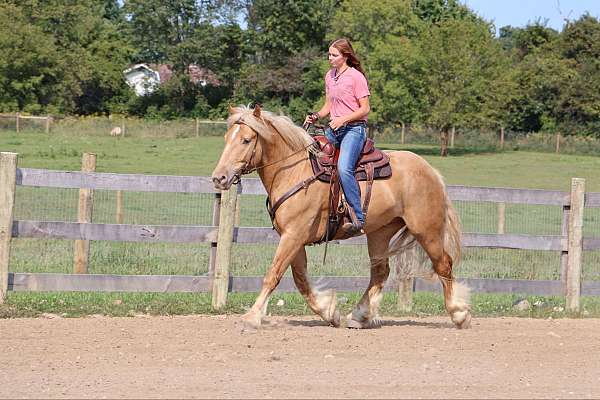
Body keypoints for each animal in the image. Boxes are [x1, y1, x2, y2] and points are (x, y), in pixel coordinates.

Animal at [213, 104, 472, 330]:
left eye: (246, 140)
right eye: (226, 138)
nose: (219, 178)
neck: (295, 172)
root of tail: (431, 171)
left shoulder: (293, 236)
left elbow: (273, 275)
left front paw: (252, 317)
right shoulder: (293, 238)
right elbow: (300, 280)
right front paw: (329, 312)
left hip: (427, 230)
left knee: (443, 264)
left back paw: (459, 314)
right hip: (379, 233)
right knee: (380, 272)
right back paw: (359, 316)